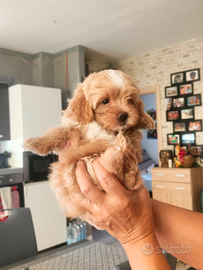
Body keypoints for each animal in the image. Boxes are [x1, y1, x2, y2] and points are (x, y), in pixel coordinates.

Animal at [23, 69, 155, 226]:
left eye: (129, 100)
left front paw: (146, 119)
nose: (124, 115)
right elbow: (57, 132)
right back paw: (118, 148)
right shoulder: (74, 130)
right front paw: (35, 143)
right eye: (105, 101)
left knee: (116, 169)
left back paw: (118, 148)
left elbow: (132, 138)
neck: (103, 127)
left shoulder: (134, 145)